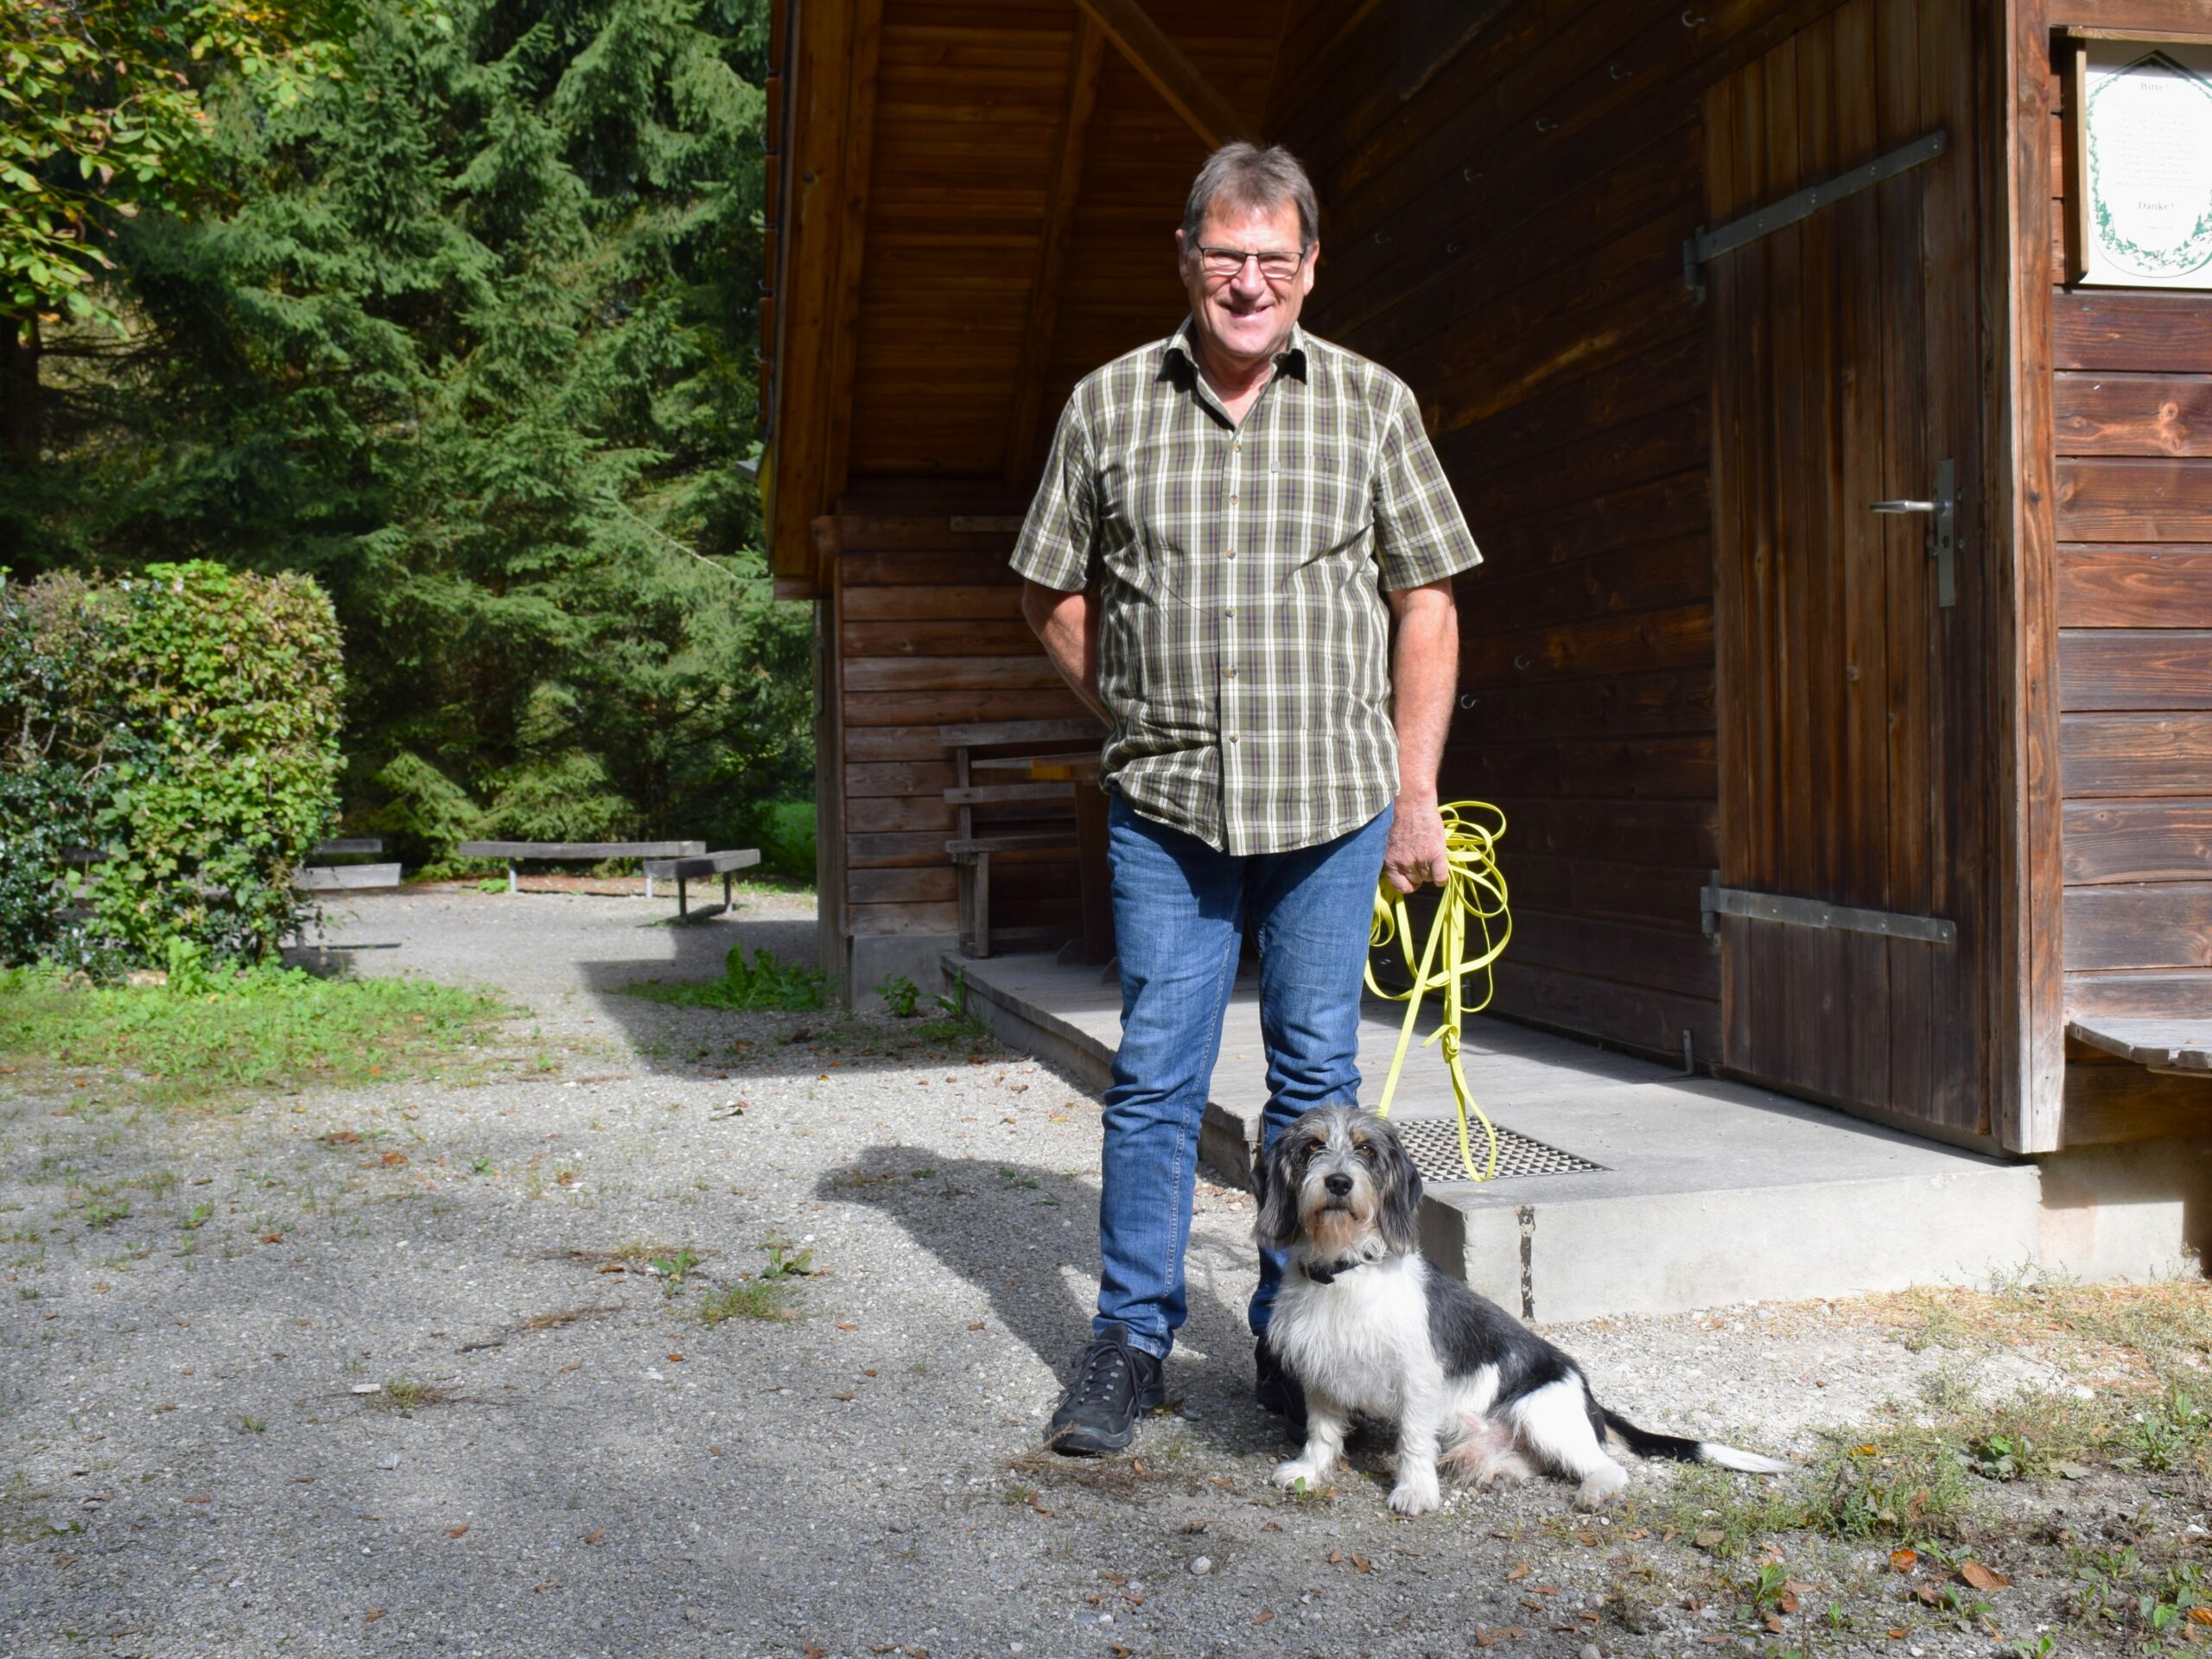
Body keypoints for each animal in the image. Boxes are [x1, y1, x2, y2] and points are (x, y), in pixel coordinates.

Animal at [1256, 1106, 1787, 1522]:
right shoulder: (1320, 1367)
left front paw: (1415, 1491)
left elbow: (1413, 1440)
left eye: (1365, 1150)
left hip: (1541, 1412)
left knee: (1607, 1465)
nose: (1338, 1182)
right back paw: (1503, 1471)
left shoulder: (1417, 1377)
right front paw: (1309, 1471)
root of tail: (1590, 1397)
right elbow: (1323, 1431)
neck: (1345, 1271)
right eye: (1313, 1146)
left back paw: (1594, 1492)